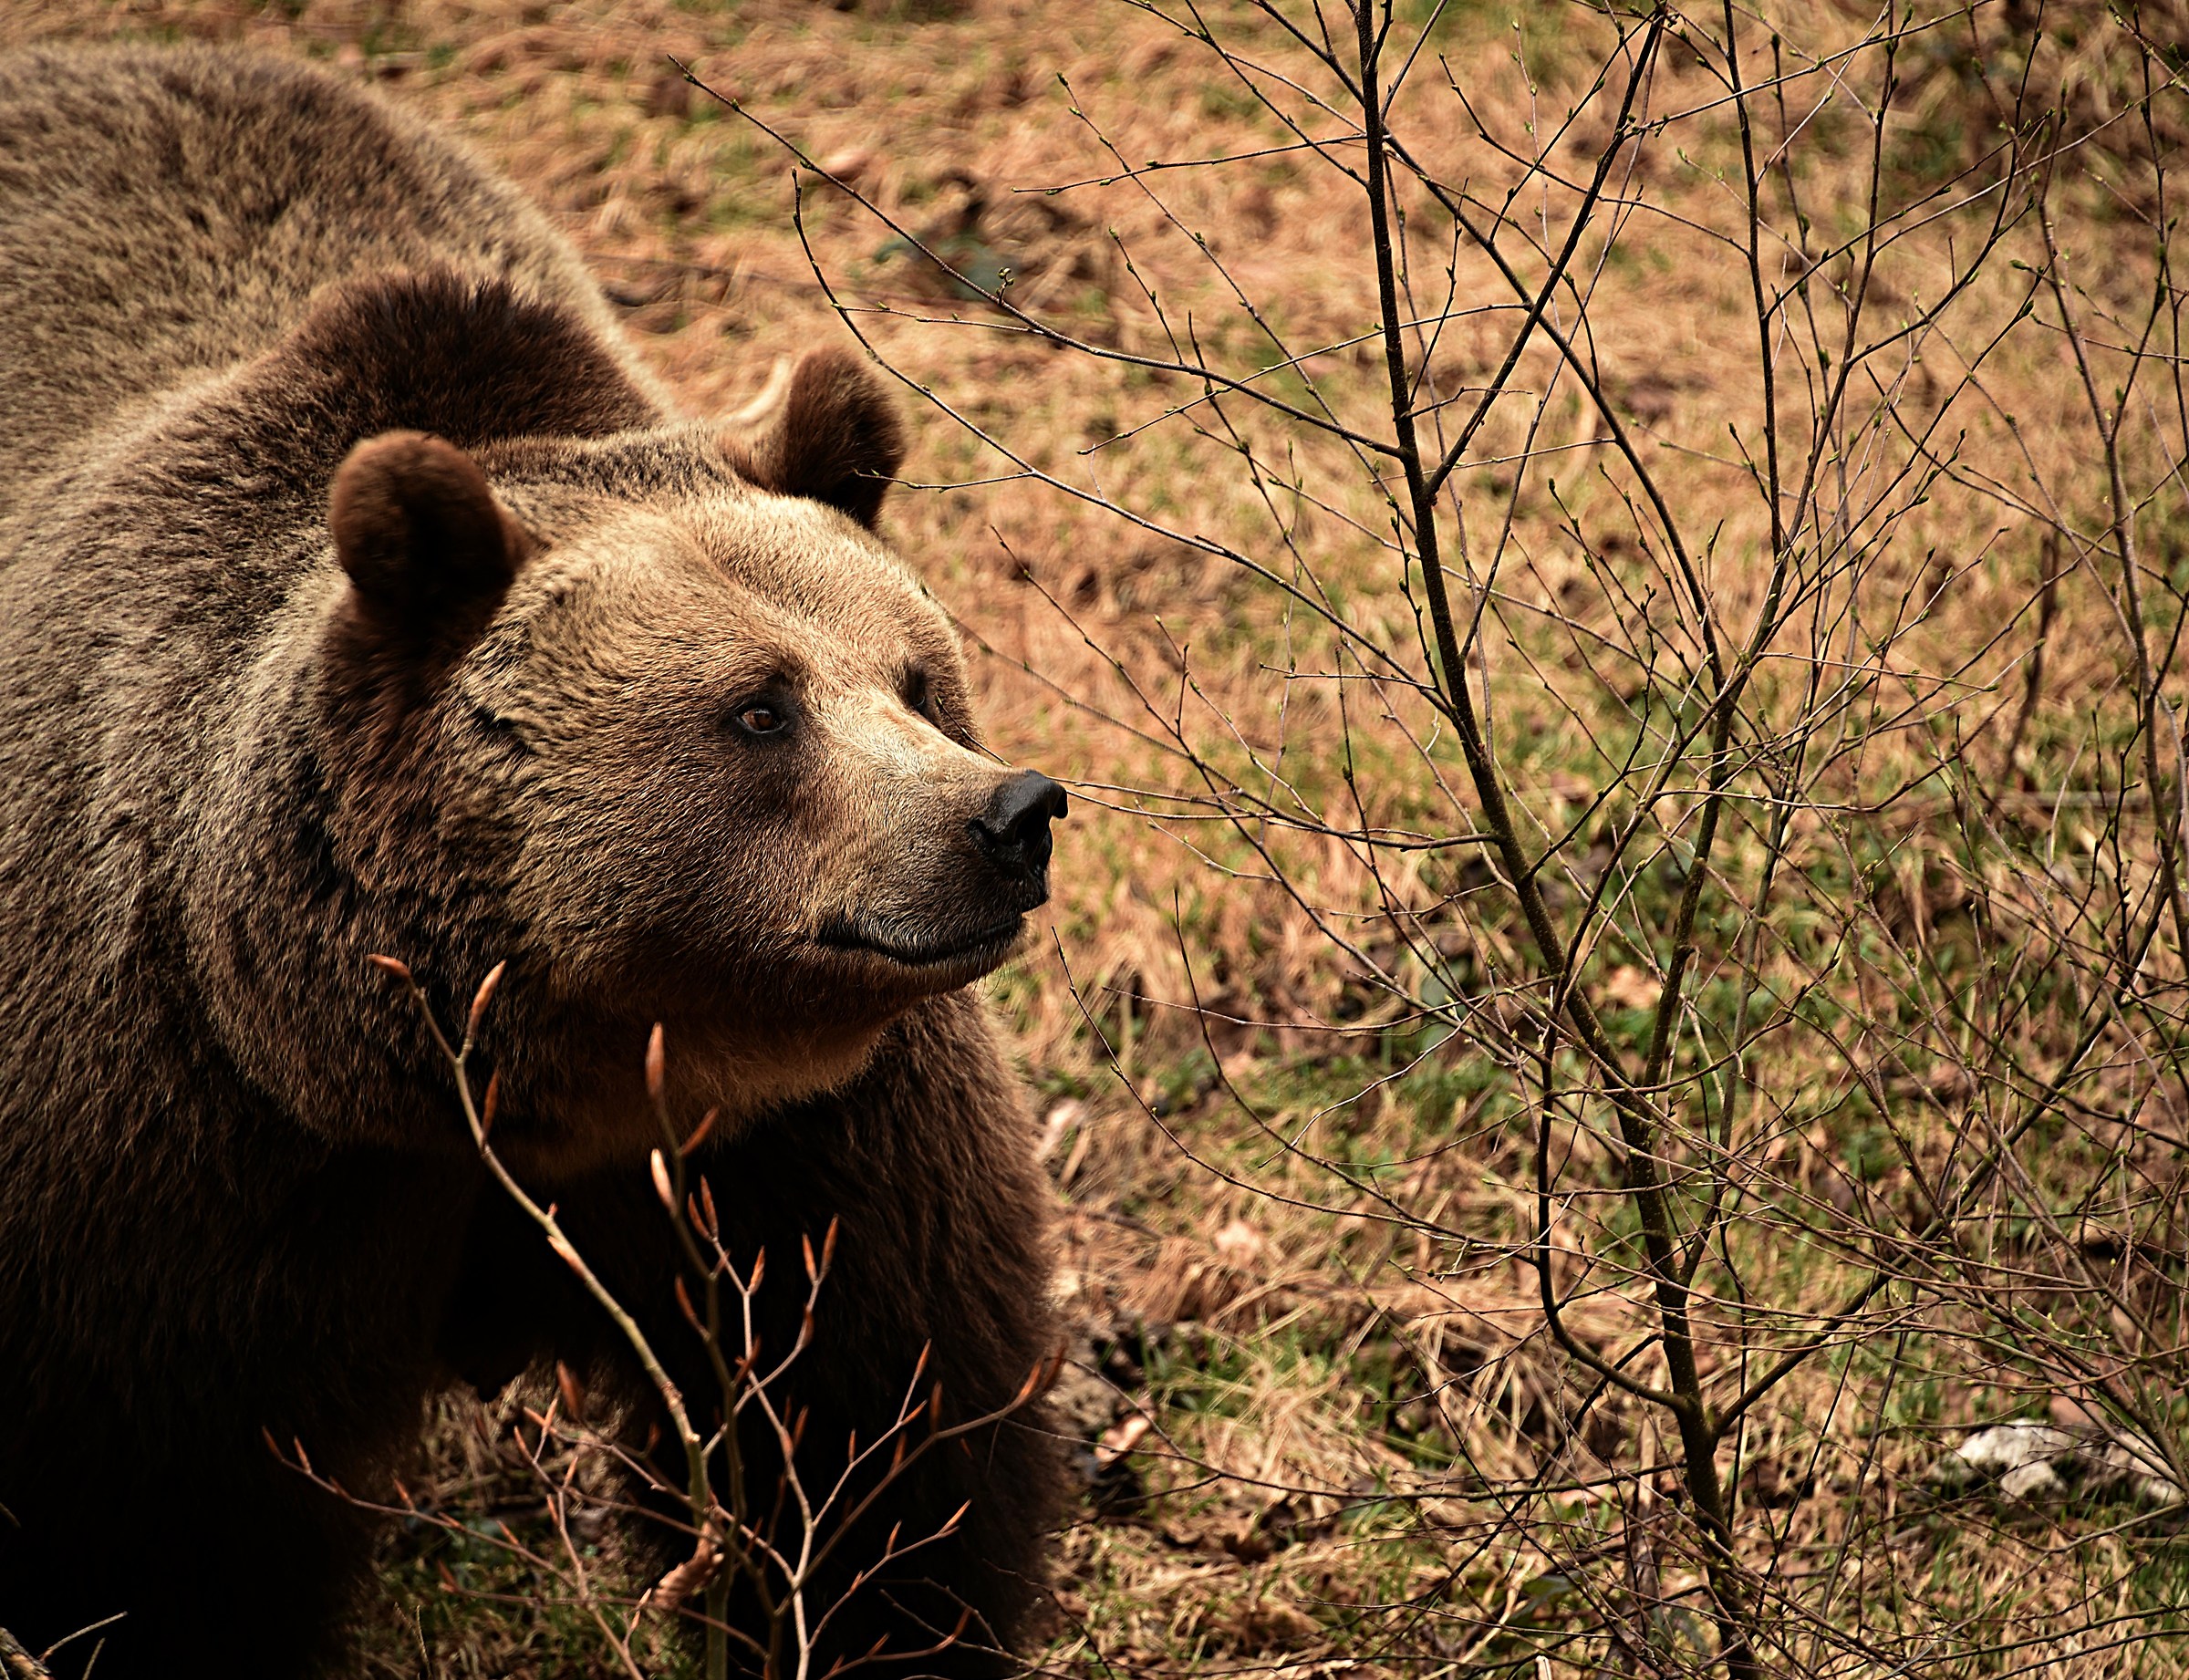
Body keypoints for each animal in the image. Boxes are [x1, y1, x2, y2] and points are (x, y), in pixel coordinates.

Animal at [0, 43, 1066, 1678]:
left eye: (915, 677)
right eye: (761, 709)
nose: (1007, 815)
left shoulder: (794, 1149)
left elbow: (877, 1426)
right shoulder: (177, 1151)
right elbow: (154, 1521)